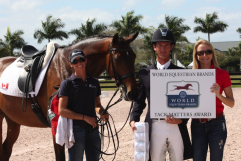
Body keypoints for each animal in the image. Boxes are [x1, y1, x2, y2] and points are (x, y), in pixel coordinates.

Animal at [0, 32, 138, 160]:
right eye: (117, 58)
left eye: (134, 56)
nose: (132, 93)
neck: (65, 66)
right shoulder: (57, 127)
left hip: (13, 119)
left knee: (6, 149)